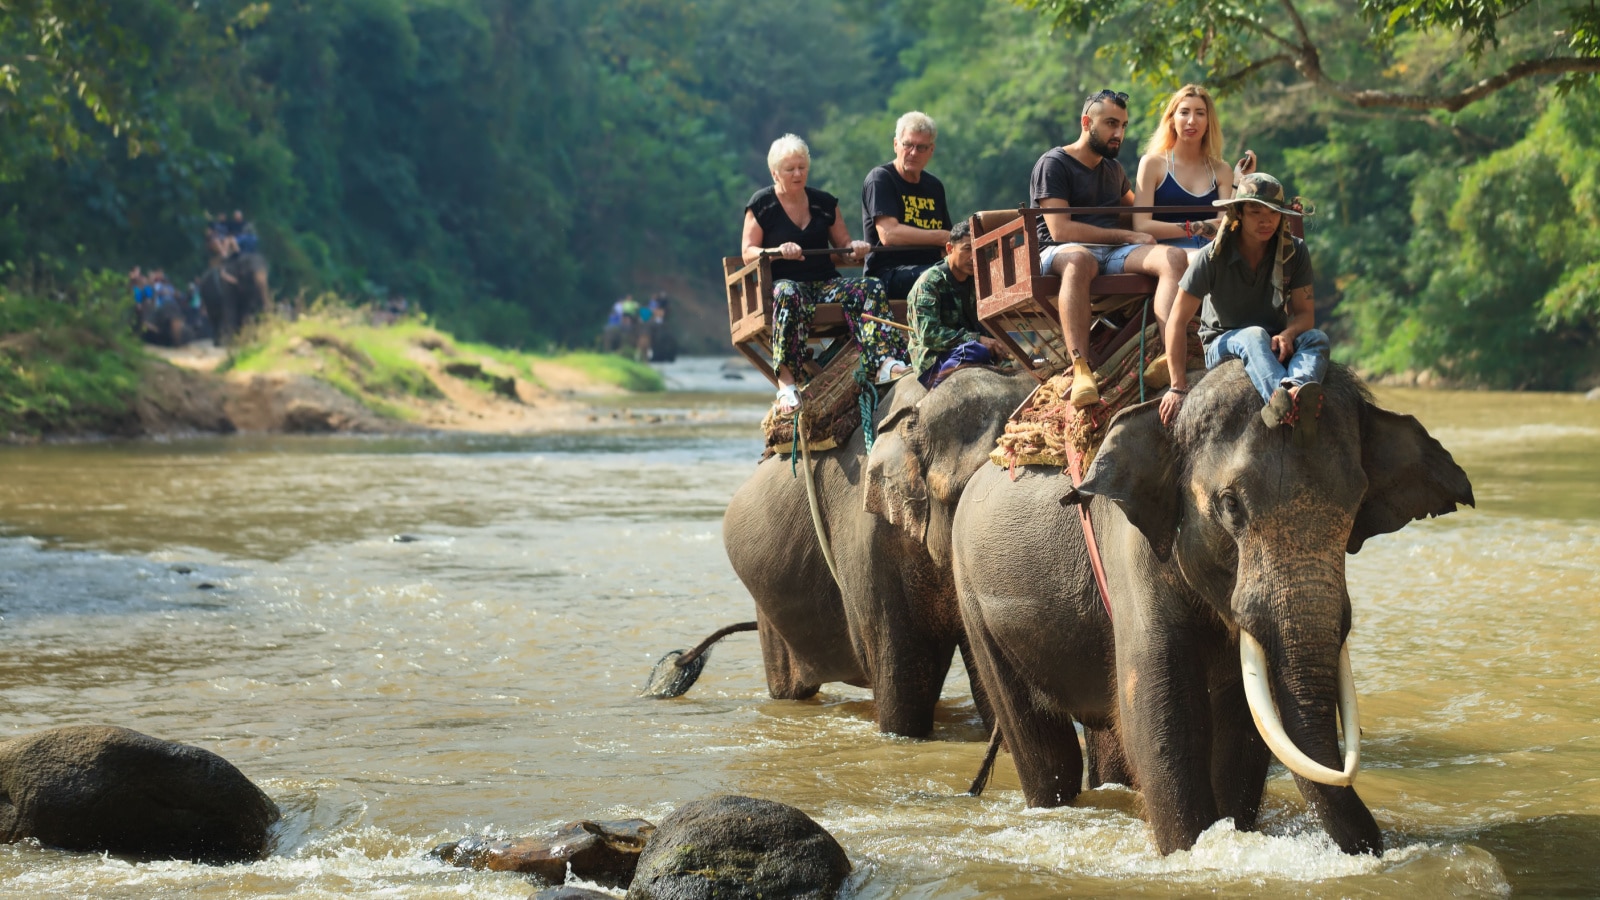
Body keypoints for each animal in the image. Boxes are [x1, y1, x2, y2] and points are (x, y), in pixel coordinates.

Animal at [947, 358, 1472, 851]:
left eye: (1357, 502)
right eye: (1230, 504)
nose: (1371, 848)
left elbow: (1244, 729)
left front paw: (1230, 830)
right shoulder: (1132, 552)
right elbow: (1161, 717)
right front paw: (1189, 851)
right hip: (972, 595)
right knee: (1044, 751)